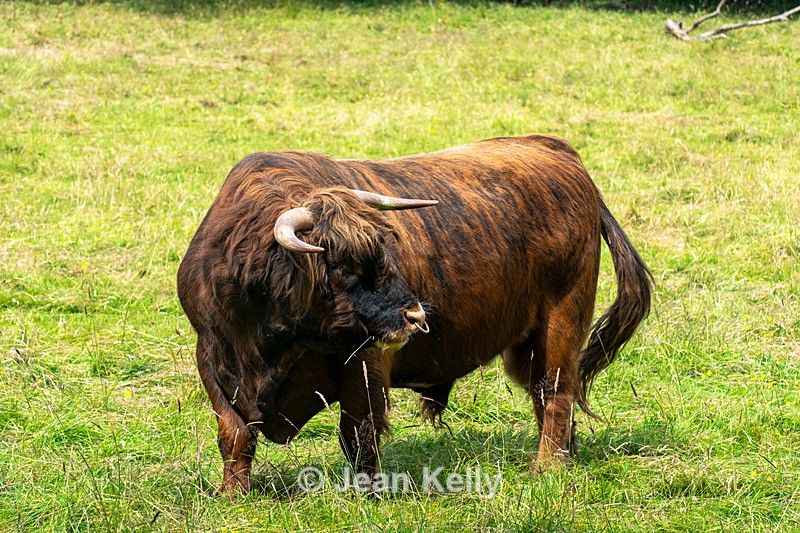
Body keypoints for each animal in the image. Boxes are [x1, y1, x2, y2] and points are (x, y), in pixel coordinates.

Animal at [176, 134, 653, 494]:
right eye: (344, 266)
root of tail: (558, 150)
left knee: (555, 392)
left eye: (388, 251)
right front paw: (233, 494)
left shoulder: (364, 364)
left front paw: (367, 493)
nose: (415, 315)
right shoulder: (212, 356)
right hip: (526, 342)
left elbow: (359, 431)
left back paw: (548, 467)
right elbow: (235, 435)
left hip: (561, 321)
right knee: (546, 394)